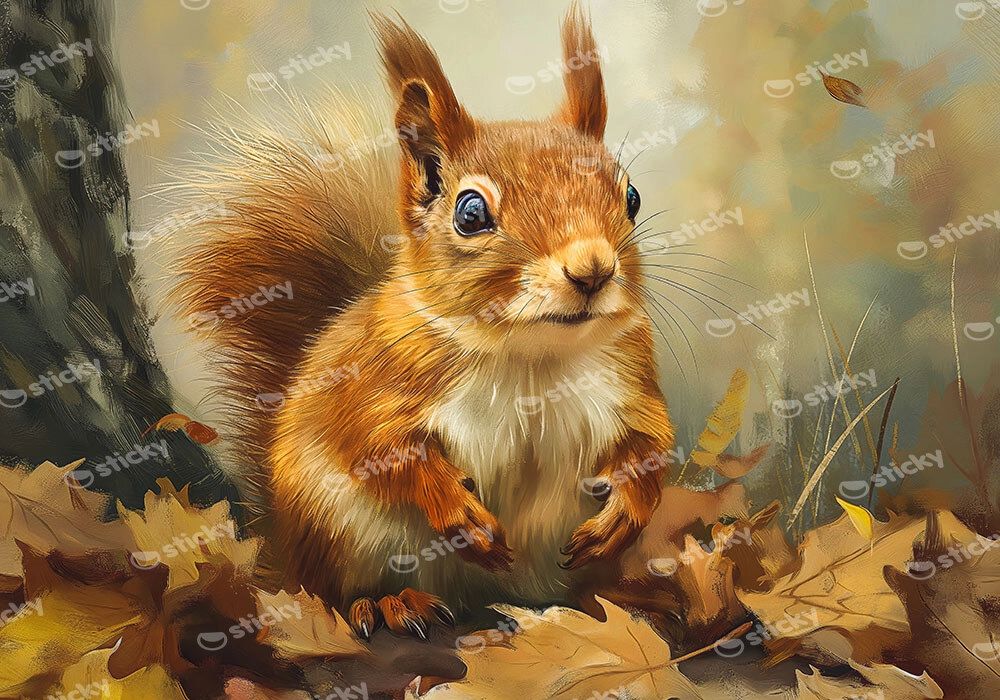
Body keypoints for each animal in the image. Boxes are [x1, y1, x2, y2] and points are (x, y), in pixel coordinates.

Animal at [168, 5, 675, 640]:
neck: (532, 355)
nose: (593, 269)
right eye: (470, 211)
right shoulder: (373, 383)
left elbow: (652, 441)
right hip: (340, 534)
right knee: (334, 594)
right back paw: (389, 603)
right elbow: (382, 448)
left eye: (631, 197)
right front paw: (458, 513)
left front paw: (628, 510)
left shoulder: (631, 374)